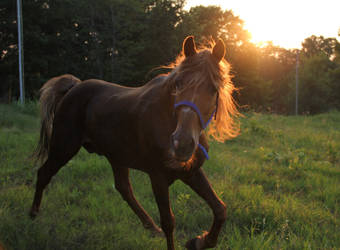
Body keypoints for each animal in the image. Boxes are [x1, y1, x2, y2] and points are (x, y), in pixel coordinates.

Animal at [31, 36, 239, 249]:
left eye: (213, 89)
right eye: (178, 84)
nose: (181, 143)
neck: (166, 118)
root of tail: (73, 87)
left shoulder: (191, 172)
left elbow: (220, 209)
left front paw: (199, 241)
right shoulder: (158, 177)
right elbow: (169, 222)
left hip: (116, 156)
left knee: (124, 188)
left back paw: (150, 226)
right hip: (63, 149)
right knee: (44, 173)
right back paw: (33, 216)